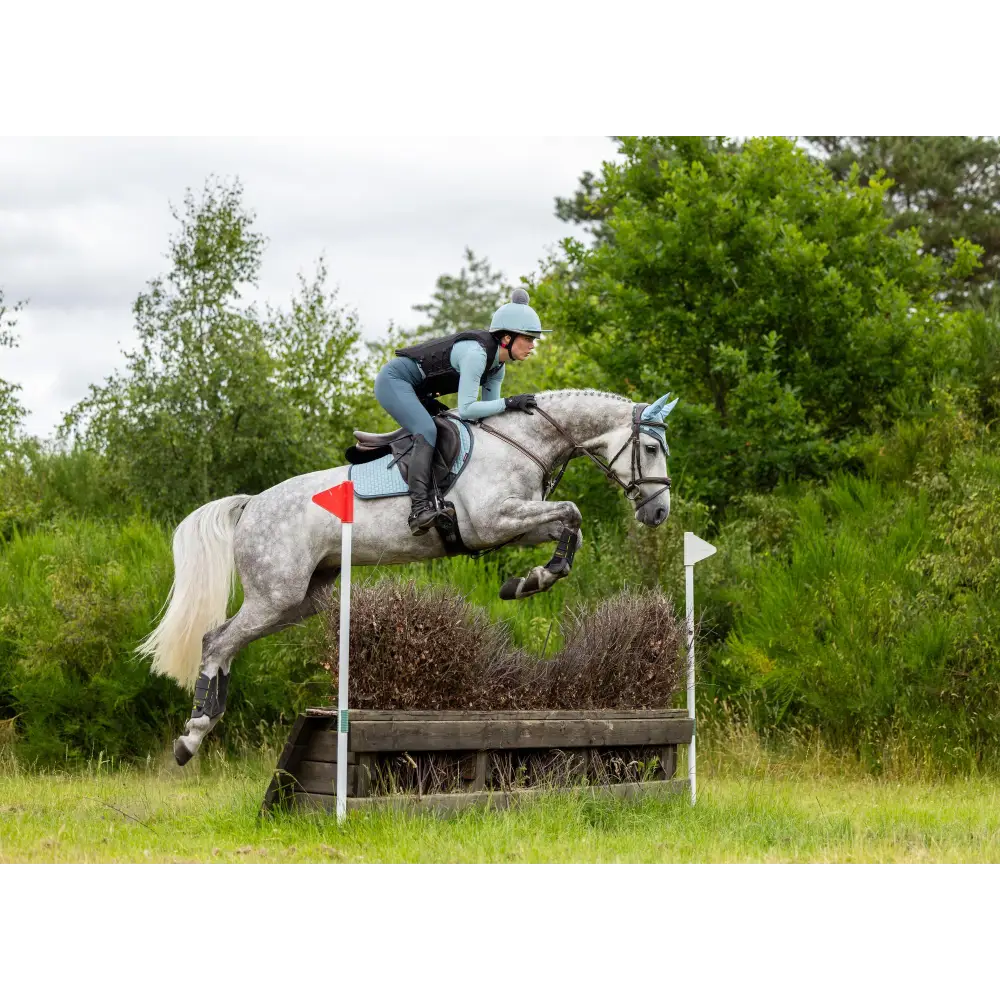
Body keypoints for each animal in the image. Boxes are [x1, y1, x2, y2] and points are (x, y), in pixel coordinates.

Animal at [135, 390, 680, 764]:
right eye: (653, 449)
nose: (658, 513)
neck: (523, 443)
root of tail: (251, 505)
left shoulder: (514, 524)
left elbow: (570, 525)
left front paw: (531, 581)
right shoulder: (492, 521)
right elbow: (573, 512)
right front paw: (533, 580)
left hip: (297, 601)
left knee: (226, 642)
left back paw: (205, 721)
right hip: (275, 595)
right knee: (217, 641)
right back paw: (192, 735)